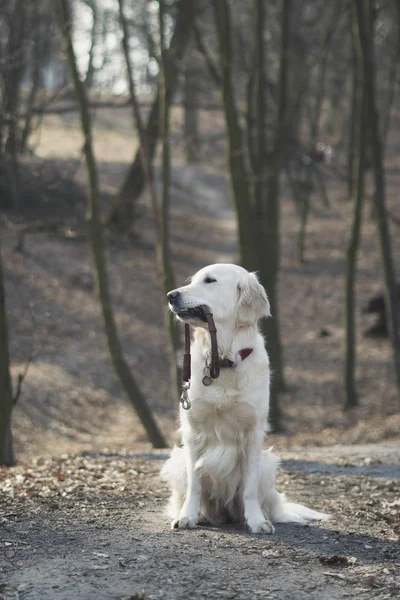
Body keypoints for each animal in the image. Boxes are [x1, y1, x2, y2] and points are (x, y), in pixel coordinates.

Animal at [160, 264, 328, 532]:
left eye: (210, 280)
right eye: (192, 280)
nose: (170, 295)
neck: (222, 362)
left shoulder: (252, 433)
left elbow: (248, 488)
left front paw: (257, 521)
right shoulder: (192, 430)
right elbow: (195, 485)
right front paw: (187, 516)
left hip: (267, 464)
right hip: (176, 460)